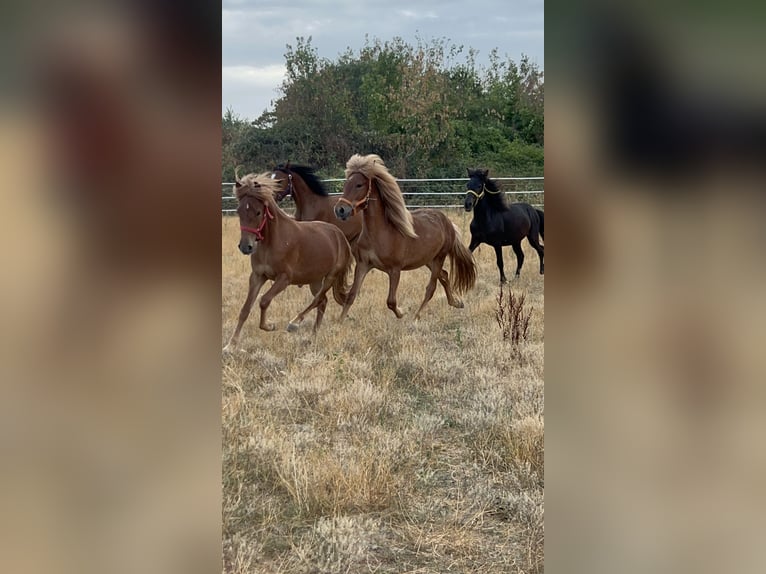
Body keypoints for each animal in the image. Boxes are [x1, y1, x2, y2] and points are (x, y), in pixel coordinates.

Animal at [223, 170, 353, 351]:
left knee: (317, 300)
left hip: (330, 276)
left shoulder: (284, 278)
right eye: (239, 211)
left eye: (258, 212)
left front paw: (269, 326)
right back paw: (313, 335)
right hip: (315, 280)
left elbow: (264, 300)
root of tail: (340, 235)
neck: (272, 241)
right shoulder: (257, 276)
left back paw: (294, 323)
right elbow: (245, 309)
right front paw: (231, 345)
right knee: (322, 302)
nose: (246, 247)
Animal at [334, 154, 476, 319]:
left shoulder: (395, 270)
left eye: (359, 185)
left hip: (439, 258)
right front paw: (340, 321)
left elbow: (391, 301)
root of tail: (448, 223)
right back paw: (457, 303)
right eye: (345, 184)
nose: (340, 210)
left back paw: (416, 318)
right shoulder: (363, 265)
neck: (380, 234)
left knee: (431, 288)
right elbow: (351, 296)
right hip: (429, 259)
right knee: (444, 276)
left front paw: (402, 313)